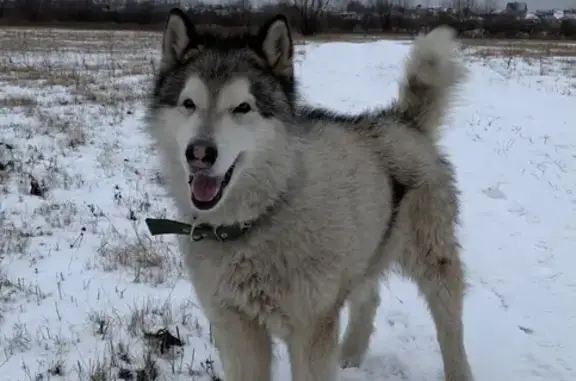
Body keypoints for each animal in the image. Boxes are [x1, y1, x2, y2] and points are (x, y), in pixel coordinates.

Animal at [146, 8, 474, 380]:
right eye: (188, 104)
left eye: (242, 108)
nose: (199, 153)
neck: (261, 215)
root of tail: (404, 121)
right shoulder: (235, 325)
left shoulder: (311, 328)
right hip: (368, 249)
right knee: (369, 297)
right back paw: (350, 355)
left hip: (432, 257)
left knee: (450, 324)